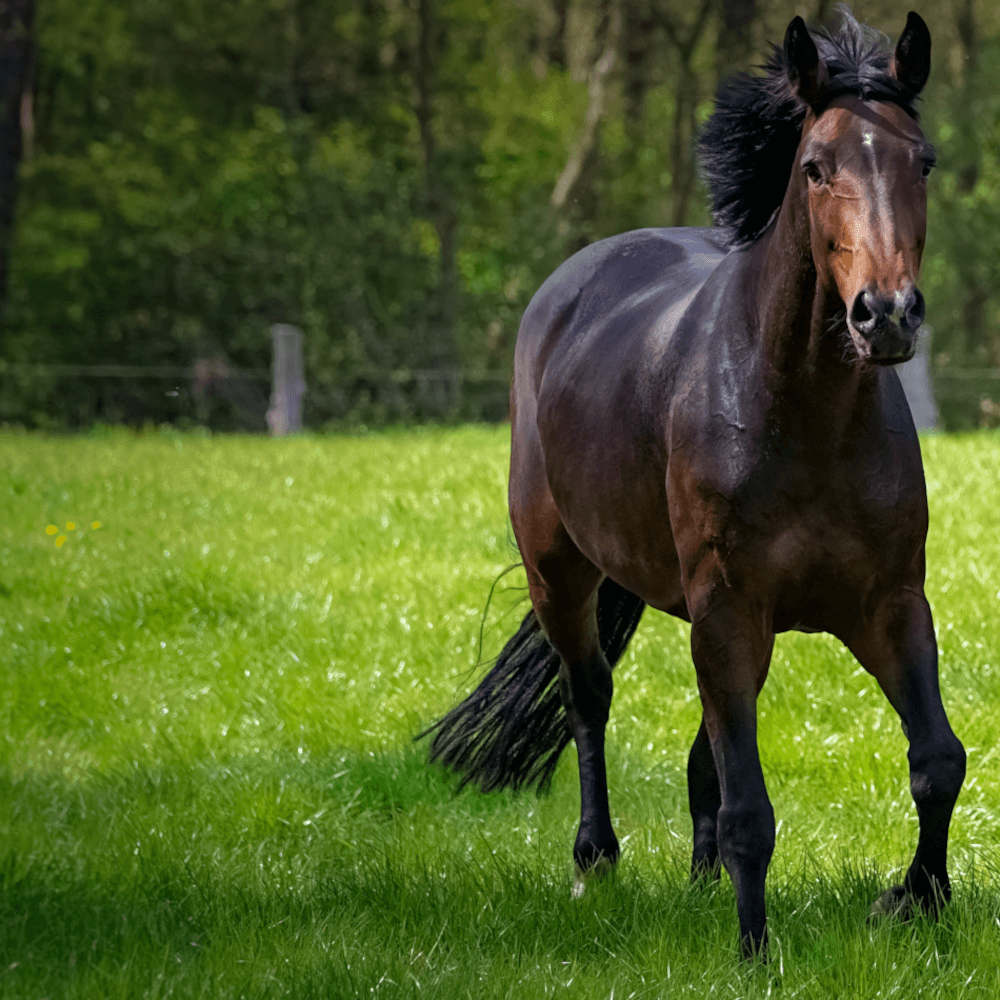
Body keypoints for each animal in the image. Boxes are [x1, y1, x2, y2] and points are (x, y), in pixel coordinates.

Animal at [422, 9, 960, 960]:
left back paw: (701, 880)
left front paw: (915, 901)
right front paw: (754, 950)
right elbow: (751, 807)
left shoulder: (889, 605)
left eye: (921, 161)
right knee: (589, 698)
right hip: (562, 572)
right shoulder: (728, 608)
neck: (804, 417)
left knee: (702, 745)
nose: (886, 315)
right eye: (815, 166)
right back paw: (596, 860)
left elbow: (936, 760)